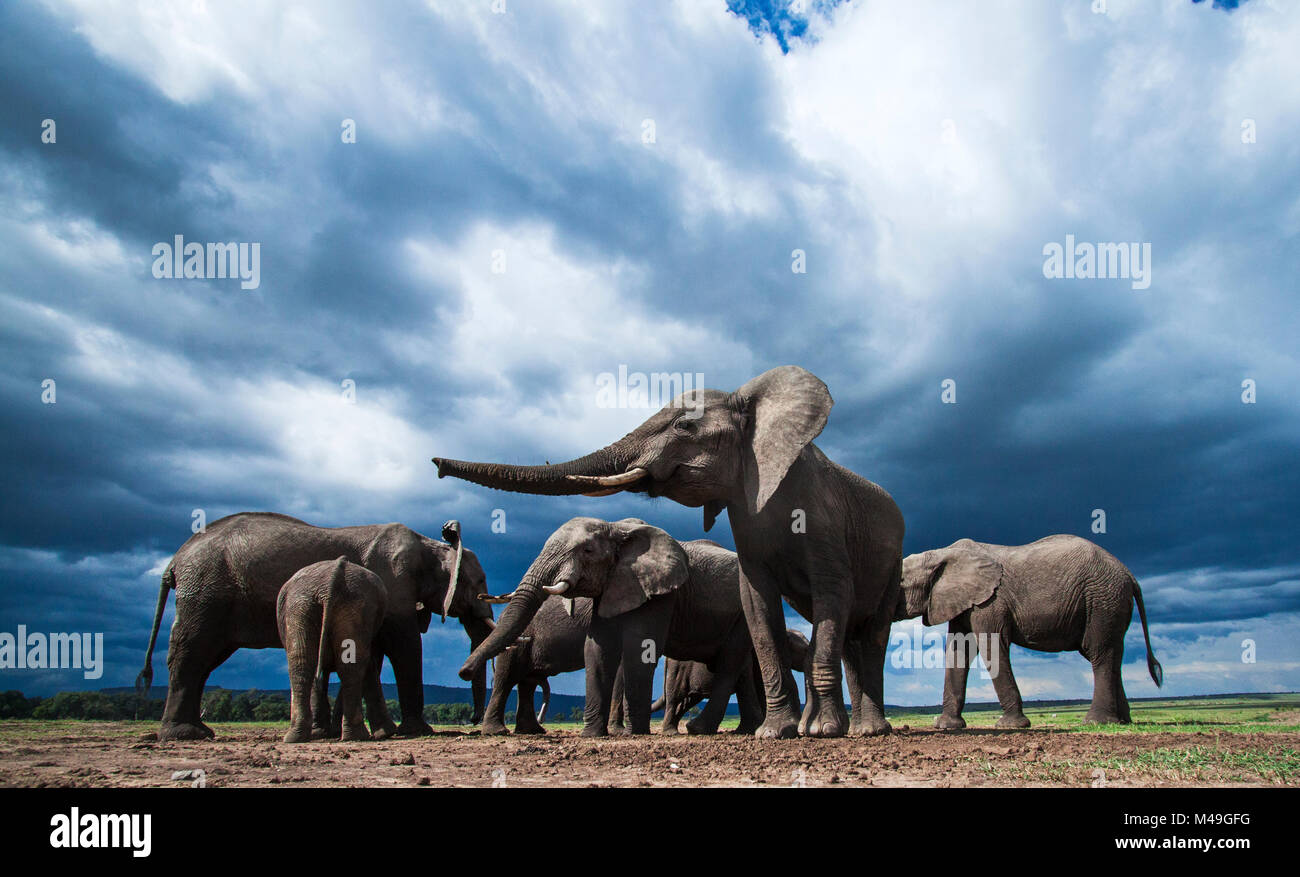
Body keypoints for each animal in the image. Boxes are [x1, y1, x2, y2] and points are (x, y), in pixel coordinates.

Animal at [462, 517, 759, 737]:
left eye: (587, 551)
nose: (463, 672)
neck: (617, 528)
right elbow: (597, 649)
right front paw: (593, 735)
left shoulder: (660, 595)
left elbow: (639, 651)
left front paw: (632, 734)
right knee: (516, 677)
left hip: (743, 614)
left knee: (730, 664)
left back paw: (699, 729)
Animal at [899, 535, 1164, 727]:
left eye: (899, 582)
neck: (942, 553)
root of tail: (1130, 574)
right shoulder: (962, 601)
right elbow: (958, 653)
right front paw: (947, 726)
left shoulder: (991, 601)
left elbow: (992, 648)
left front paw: (1012, 726)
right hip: (1109, 602)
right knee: (1113, 655)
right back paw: (1123, 721)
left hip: (1102, 600)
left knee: (1100, 653)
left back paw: (1096, 722)